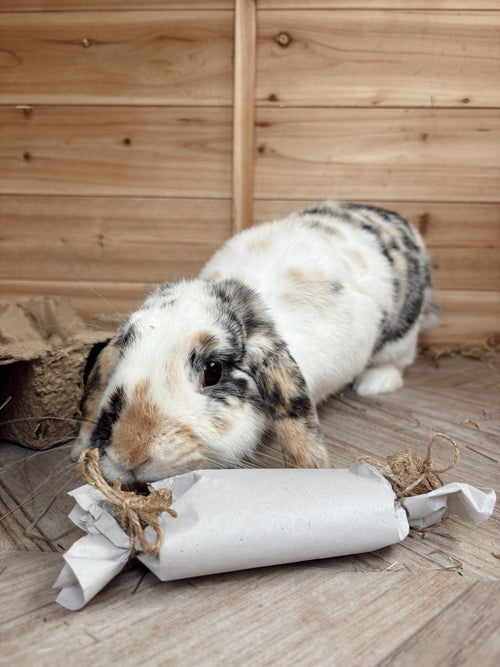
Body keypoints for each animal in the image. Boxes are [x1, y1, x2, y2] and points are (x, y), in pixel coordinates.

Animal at [72, 201, 438, 485]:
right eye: (121, 357)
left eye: (213, 371)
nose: (129, 454)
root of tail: (395, 218)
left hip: (402, 334)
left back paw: (374, 384)